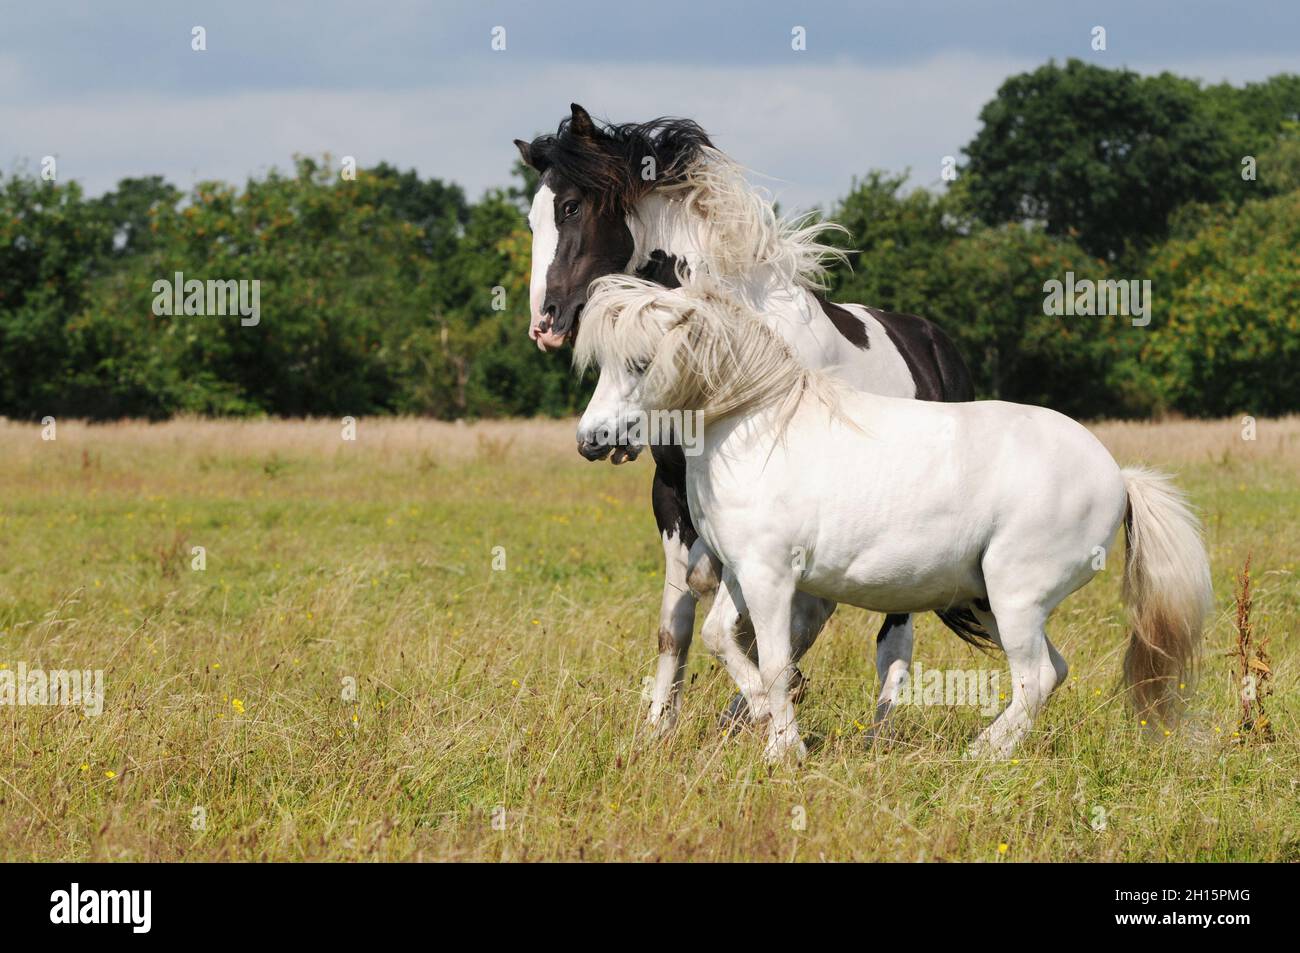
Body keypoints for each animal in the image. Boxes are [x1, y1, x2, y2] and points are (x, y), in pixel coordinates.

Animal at [513, 104, 982, 734]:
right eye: (532, 219)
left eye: (571, 207)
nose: (546, 323)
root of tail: (937, 347)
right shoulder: (674, 494)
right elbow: (678, 620)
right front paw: (659, 725)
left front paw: (764, 701)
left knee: (892, 633)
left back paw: (875, 727)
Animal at [574, 276, 1213, 760]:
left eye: (641, 362)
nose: (591, 440)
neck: (758, 427)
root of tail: (1119, 478)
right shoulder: (741, 574)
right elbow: (717, 638)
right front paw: (765, 717)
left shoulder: (770, 577)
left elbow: (775, 660)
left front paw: (784, 748)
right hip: (990, 599)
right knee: (1052, 671)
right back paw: (992, 749)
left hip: (1016, 596)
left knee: (1033, 678)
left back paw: (980, 754)